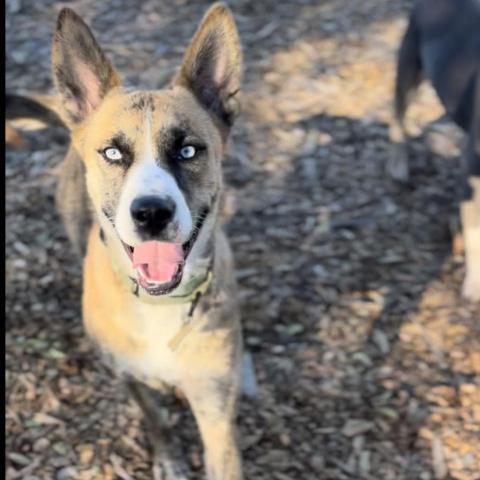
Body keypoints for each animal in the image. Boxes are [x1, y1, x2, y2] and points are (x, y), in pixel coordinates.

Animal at [7, 4, 246, 480]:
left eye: (188, 150)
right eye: (113, 153)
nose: (151, 213)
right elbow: (155, 420)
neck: (161, 305)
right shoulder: (126, 375)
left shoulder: (215, 406)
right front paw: (169, 458)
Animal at [386, 0, 480, 300]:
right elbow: (475, 239)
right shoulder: (469, 186)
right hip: (409, 69)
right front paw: (474, 285)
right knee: (397, 116)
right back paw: (398, 165)